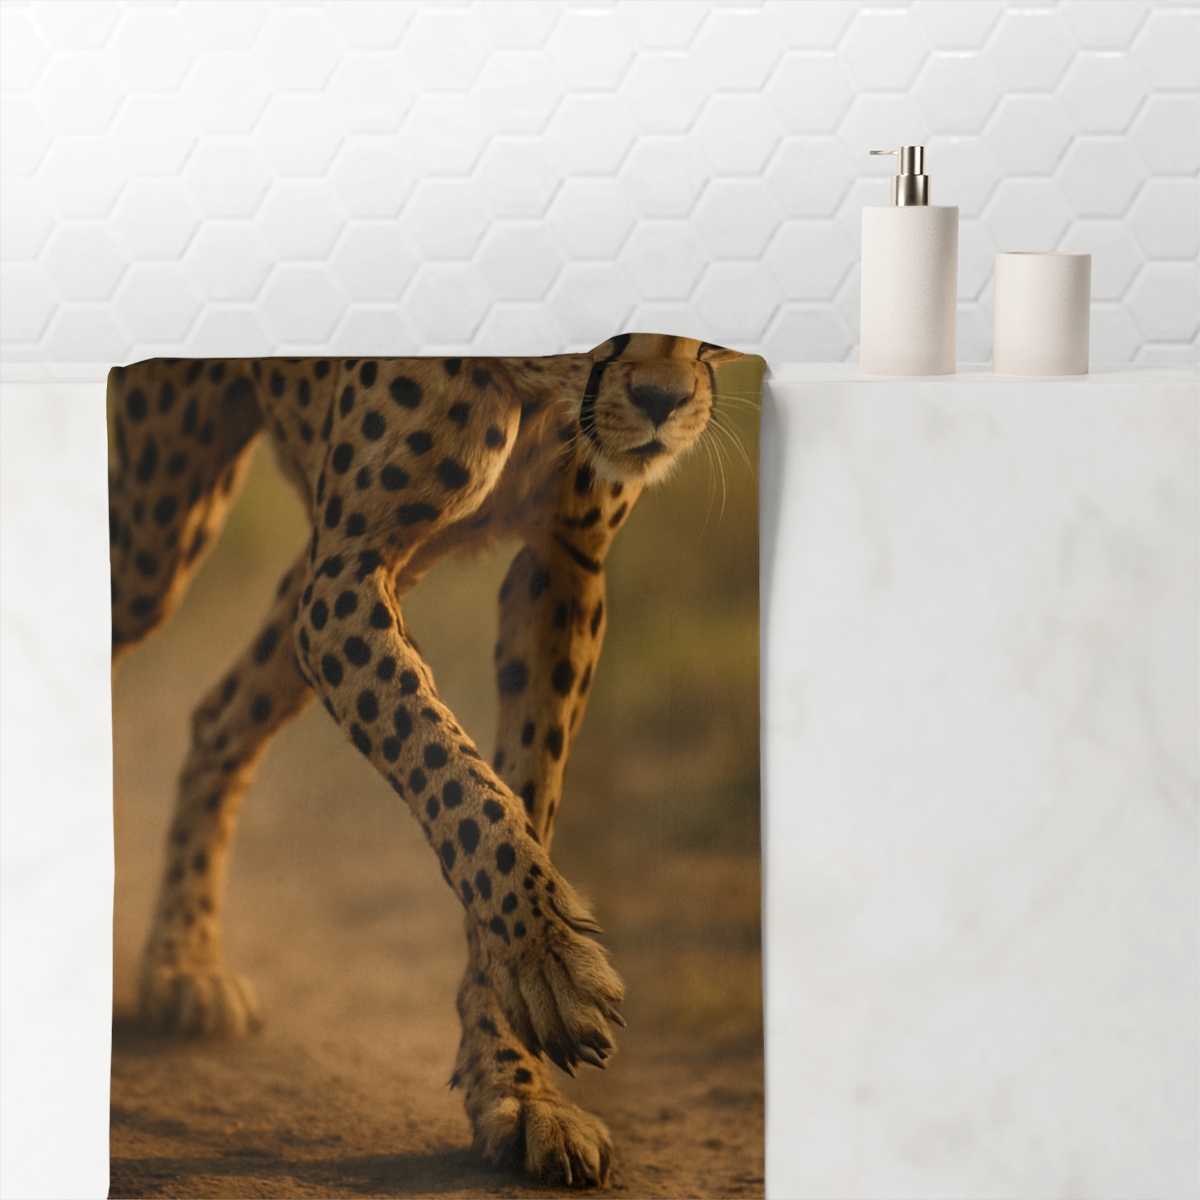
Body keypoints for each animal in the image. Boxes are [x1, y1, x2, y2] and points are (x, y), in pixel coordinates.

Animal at [107, 332, 748, 1189]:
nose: (662, 401)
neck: (542, 387)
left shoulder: (560, 569)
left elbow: (524, 789)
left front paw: (518, 1086)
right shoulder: (347, 574)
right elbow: (454, 774)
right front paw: (550, 961)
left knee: (219, 714)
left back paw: (183, 965)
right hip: (159, 532)